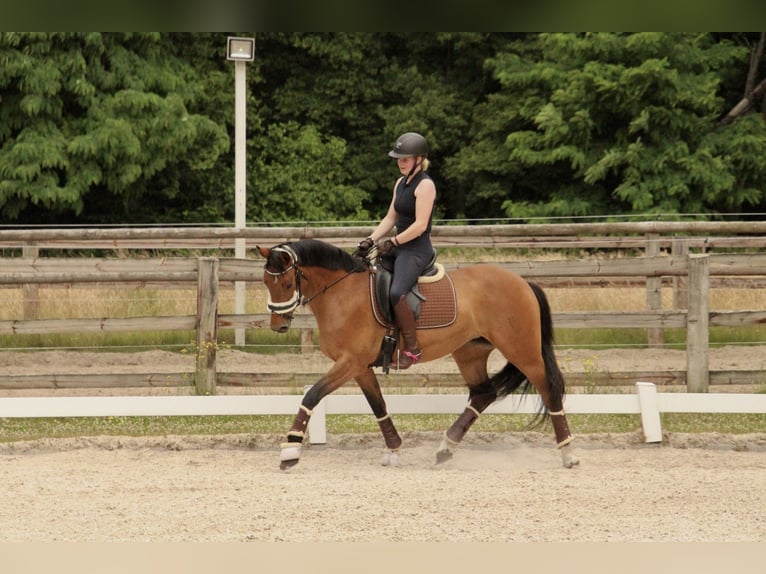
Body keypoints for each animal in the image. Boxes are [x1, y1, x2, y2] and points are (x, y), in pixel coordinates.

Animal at [255, 238, 580, 472]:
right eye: (266, 283)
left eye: (287, 283)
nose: (278, 325)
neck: (343, 293)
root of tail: (522, 281)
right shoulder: (360, 366)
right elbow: (378, 405)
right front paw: (394, 449)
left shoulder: (350, 362)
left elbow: (311, 395)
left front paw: (290, 450)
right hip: (470, 352)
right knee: (482, 394)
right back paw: (445, 448)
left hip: (523, 350)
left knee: (549, 389)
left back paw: (568, 453)